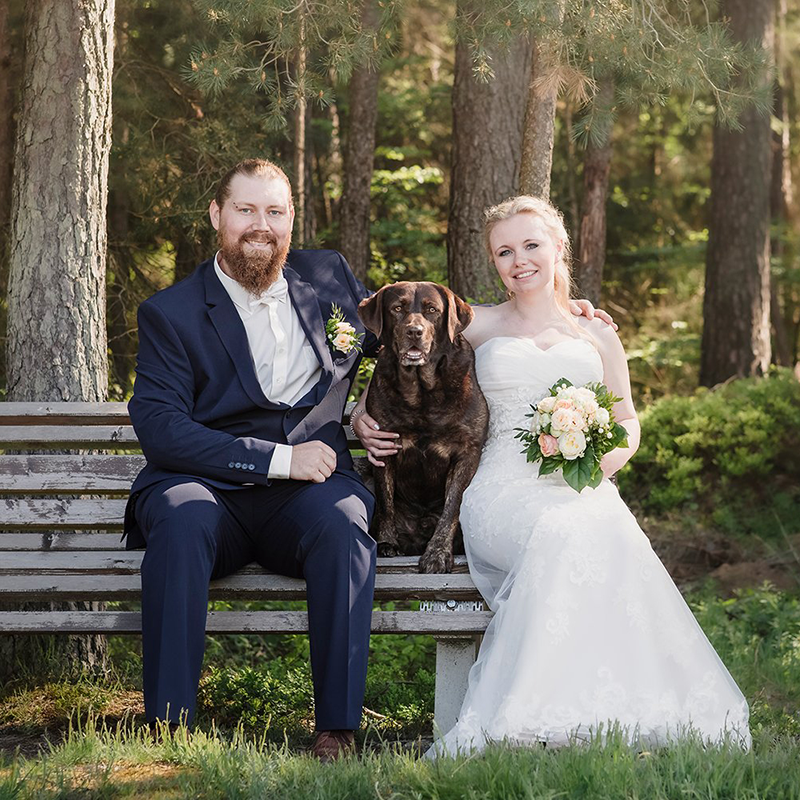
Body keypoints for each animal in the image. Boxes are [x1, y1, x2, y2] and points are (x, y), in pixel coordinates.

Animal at [358, 282, 488, 576]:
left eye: (432, 310)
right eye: (397, 308)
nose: (414, 331)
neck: (421, 392)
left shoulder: (467, 452)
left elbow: (452, 507)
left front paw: (437, 554)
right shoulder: (383, 448)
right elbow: (386, 501)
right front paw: (386, 542)